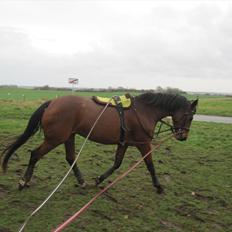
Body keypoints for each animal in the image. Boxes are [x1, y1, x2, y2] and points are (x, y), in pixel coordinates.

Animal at [1, 92, 198, 194]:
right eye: (190, 116)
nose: (183, 136)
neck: (143, 111)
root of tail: (53, 102)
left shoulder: (124, 143)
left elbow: (117, 163)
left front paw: (99, 179)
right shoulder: (143, 143)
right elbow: (150, 165)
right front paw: (158, 186)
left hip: (68, 136)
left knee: (70, 158)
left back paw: (81, 182)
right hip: (55, 139)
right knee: (35, 154)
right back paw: (23, 181)